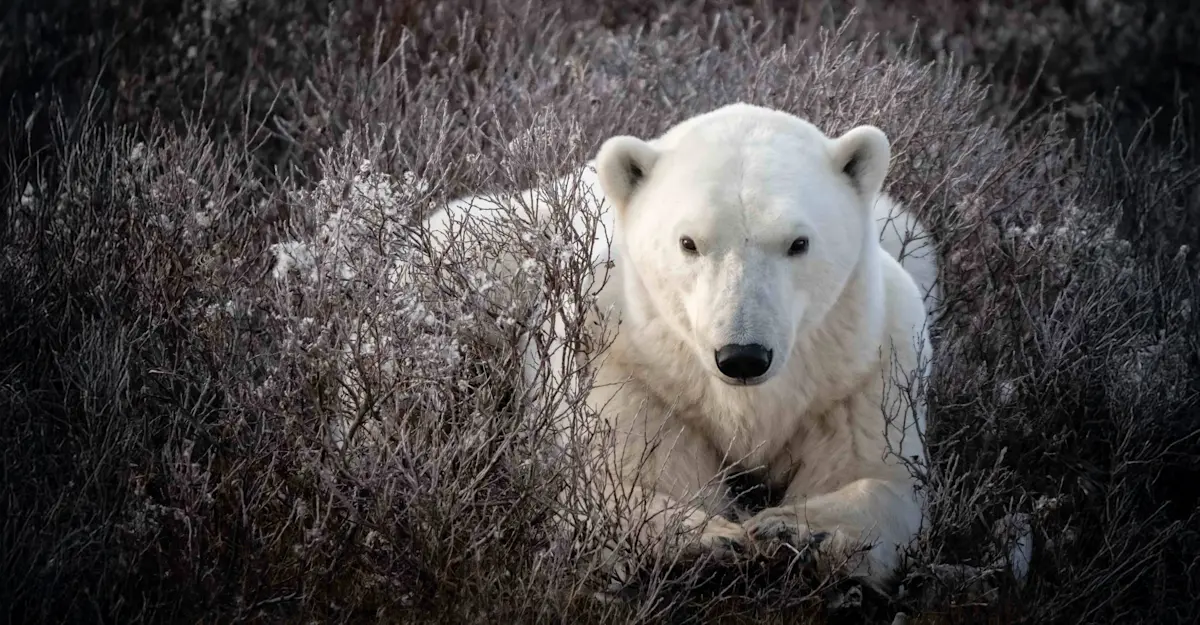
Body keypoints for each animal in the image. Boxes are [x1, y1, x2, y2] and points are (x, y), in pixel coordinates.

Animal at [421, 103, 939, 592]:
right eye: (688, 242)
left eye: (799, 243)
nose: (743, 356)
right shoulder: (629, 368)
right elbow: (617, 483)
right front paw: (711, 540)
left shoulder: (859, 373)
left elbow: (876, 479)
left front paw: (792, 531)